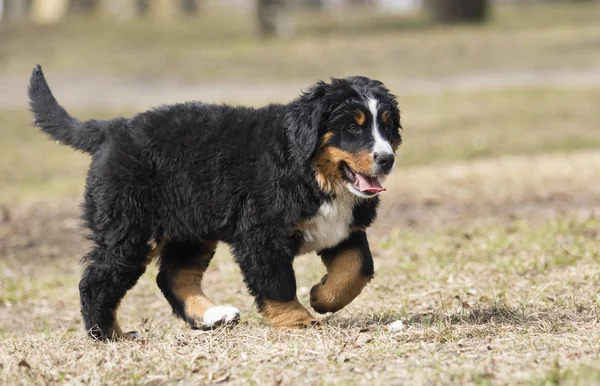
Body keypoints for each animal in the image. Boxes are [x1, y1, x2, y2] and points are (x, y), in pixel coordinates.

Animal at [28, 65, 404, 340]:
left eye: (387, 127)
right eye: (352, 128)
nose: (386, 159)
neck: (310, 170)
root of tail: (112, 129)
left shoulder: (343, 227)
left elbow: (358, 267)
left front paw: (322, 297)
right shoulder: (261, 233)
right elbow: (277, 281)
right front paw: (297, 319)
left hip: (189, 228)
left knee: (173, 276)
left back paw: (212, 315)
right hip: (128, 230)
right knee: (96, 281)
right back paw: (109, 335)